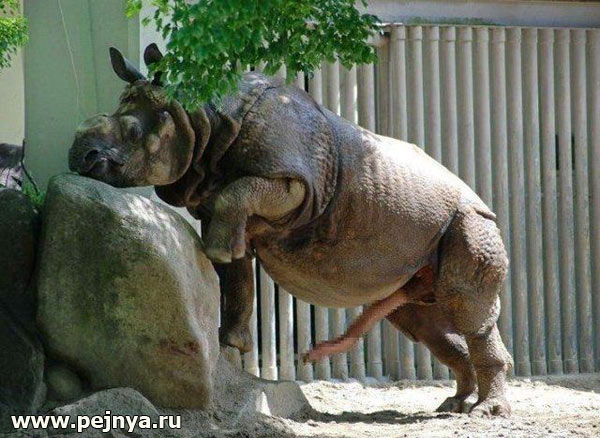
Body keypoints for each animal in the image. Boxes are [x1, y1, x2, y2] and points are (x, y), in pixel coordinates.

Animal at [69, 44, 513, 417]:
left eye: (132, 133)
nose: (78, 158)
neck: (199, 118)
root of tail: (481, 200)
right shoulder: (218, 203)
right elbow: (237, 278)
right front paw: (229, 345)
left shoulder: (297, 185)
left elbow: (239, 199)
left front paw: (216, 257)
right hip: (427, 237)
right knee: (425, 324)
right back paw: (452, 406)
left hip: (472, 222)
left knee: (465, 307)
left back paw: (485, 413)